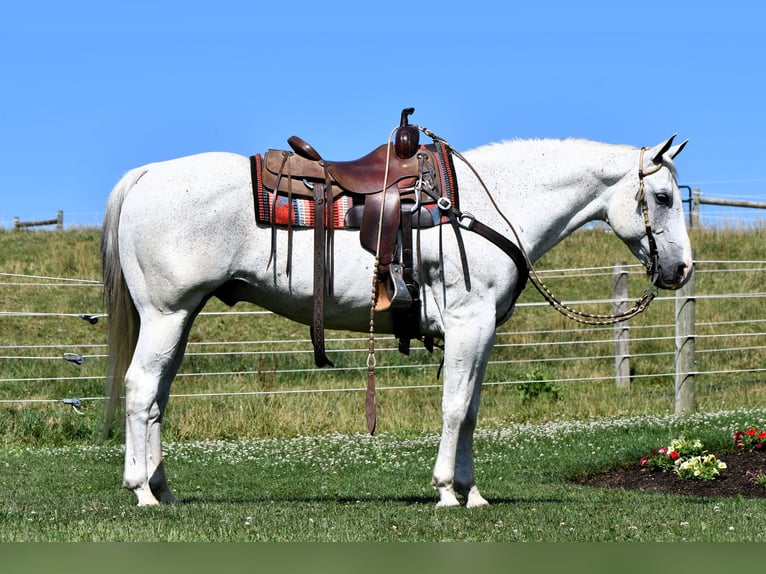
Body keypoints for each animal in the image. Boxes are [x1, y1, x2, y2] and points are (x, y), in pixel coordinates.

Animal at [102, 132, 696, 508]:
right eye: (663, 196)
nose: (682, 269)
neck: (489, 205)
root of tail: (145, 176)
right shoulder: (468, 324)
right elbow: (454, 408)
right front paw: (446, 491)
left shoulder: (482, 331)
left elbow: (471, 412)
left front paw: (473, 493)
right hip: (166, 314)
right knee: (140, 389)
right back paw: (142, 491)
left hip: (180, 317)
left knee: (156, 400)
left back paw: (164, 489)